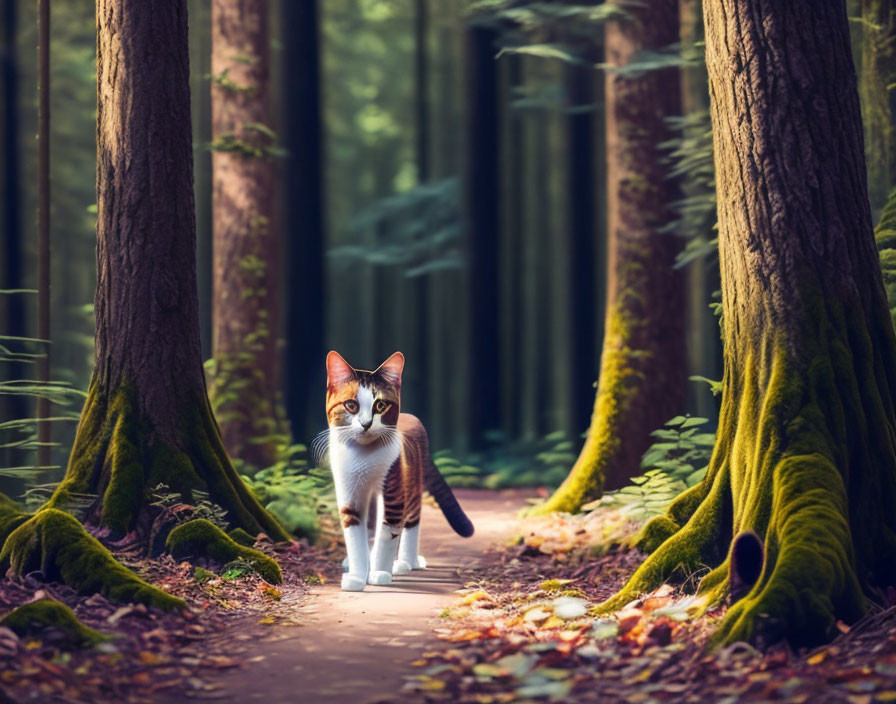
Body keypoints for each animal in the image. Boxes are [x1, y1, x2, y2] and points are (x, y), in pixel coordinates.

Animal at [322, 350, 476, 588]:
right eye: (351, 405)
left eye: (380, 406)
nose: (366, 423)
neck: (362, 458)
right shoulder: (349, 493)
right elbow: (355, 536)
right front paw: (357, 576)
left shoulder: (393, 489)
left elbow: (387, 536)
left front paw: (379, 573)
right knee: (371, 528)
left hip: (412, 481)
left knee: (412, 521)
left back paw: (406, 562)